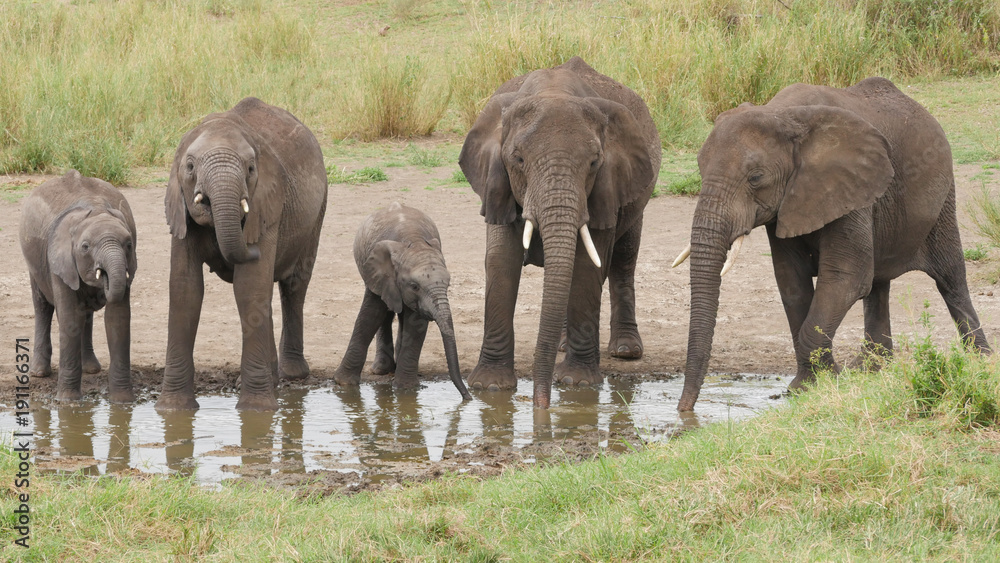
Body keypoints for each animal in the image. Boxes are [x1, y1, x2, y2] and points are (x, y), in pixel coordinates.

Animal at [19, 170, 137, 403]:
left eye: (129, 244)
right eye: (85, 247)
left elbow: (117, 319)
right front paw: (68, 401)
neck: (95, 209)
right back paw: (39, 372)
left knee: (86, 314)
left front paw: (122, 403)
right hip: (34, 263)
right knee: (43, 307)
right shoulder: (59, 261)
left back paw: (91, 369)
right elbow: (70, 318)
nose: (104, 279)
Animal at [160, 97, 328, 411]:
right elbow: (185, 289)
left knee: (293, 285)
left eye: (250, 169)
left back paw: (291, 375)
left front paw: (256, 411)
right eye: (189, 166)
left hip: (318, 211)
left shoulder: (267, 205)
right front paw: (173, 410)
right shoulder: (181, 209)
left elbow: (249, 288)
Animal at [333, 202, 472, 400]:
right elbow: (370, 315)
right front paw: (343, 383)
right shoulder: (380, 273)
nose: (468, 397)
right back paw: (381, 370)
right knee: (385, 313)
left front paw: (405, 389)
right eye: (414, 286)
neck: (413, 240)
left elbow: (415, 324)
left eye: (448, 284)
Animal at [459, 56, 661, 408]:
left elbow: (587, 265)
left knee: (624, 260)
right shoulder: (497, 181)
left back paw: (625, 350)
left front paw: (576, 383)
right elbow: (501, 262)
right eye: (518, 159)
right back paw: (563, 345)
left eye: (594, 163)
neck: (554, 91)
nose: (541, 403)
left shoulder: (606, 186)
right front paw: (490, 387)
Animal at [673, 76, 992, 411]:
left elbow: (845, 278)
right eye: (700, 169)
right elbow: (792, 282)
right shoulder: (789, 202)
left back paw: (979, 362)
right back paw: (871, 370)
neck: (780, 114)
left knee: (950, 277)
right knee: (878, 285)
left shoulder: (849, 185)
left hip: (943, 196)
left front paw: (826, 381)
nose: (684, 411)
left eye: (756, 178)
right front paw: (808, 386)